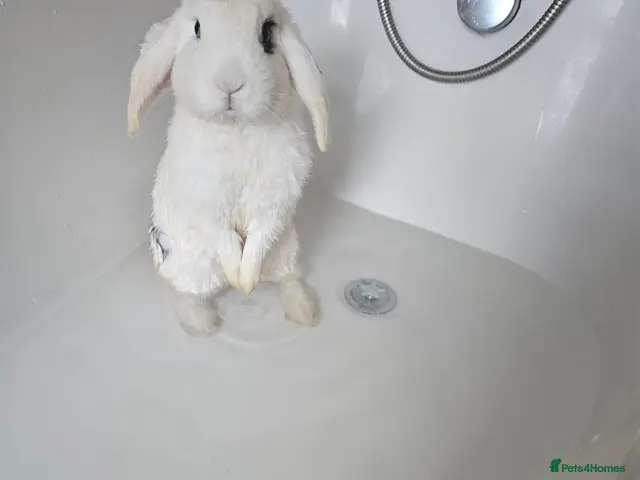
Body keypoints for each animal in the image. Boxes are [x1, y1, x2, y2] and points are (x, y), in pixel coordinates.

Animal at [127, 0, 329, 336]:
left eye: (267, 33)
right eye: (196, 28)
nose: (230, 84)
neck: (235, 128)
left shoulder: (275, 203)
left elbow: (258, 240)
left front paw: (246, 283)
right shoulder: (206, 204)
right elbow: (226, 240)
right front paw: (238, 280)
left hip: (286, 250)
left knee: (288, 279)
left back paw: (304, 312)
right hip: (192, 266)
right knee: (188, 294)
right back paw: (203, 324)